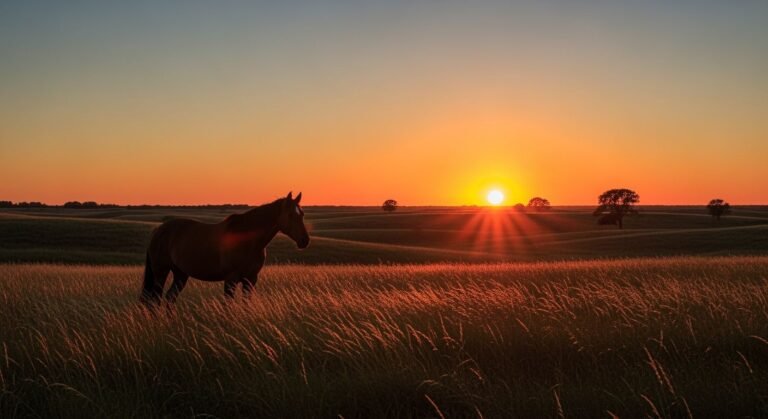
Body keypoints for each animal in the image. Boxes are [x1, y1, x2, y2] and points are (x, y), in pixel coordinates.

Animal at [140, 192, 309, 304]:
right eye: (290, 215)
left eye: (302, 214)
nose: (305, 241)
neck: (247, 241)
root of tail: (159, 230)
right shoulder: (231, 279)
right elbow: (228, 305)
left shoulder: (251, 279)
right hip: (161, 272)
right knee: (154, 301)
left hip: (180, 274)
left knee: (170, 298)